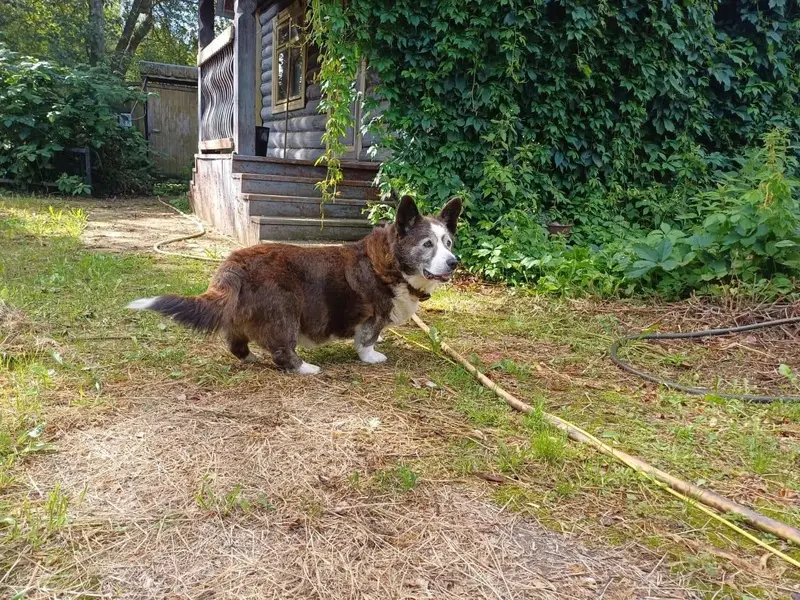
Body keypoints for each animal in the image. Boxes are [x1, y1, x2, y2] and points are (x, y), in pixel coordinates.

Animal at [127, 195, 462, 374]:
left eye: (448, 242)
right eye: (427, 244)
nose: (454, 262)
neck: (391, 262)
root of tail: (234, 265)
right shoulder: (374, 316)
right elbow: (367, 341)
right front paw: (372, 358)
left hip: (238, 316)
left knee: (236, 344)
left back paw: (251, 358)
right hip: (285, 311)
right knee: (282, 352)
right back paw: (305, 368)